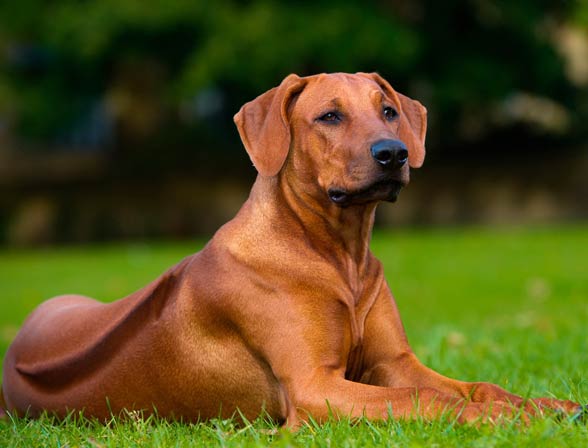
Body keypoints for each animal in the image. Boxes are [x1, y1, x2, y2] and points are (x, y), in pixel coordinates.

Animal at [0, 72, 584, 424]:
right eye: (329, 116)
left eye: (389, 111)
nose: (394, 153)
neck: (338, 256)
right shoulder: (313, 387)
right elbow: (423, 397)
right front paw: (511, 418)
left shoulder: (394, 361)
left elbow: (474, 385)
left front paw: (543, 403)